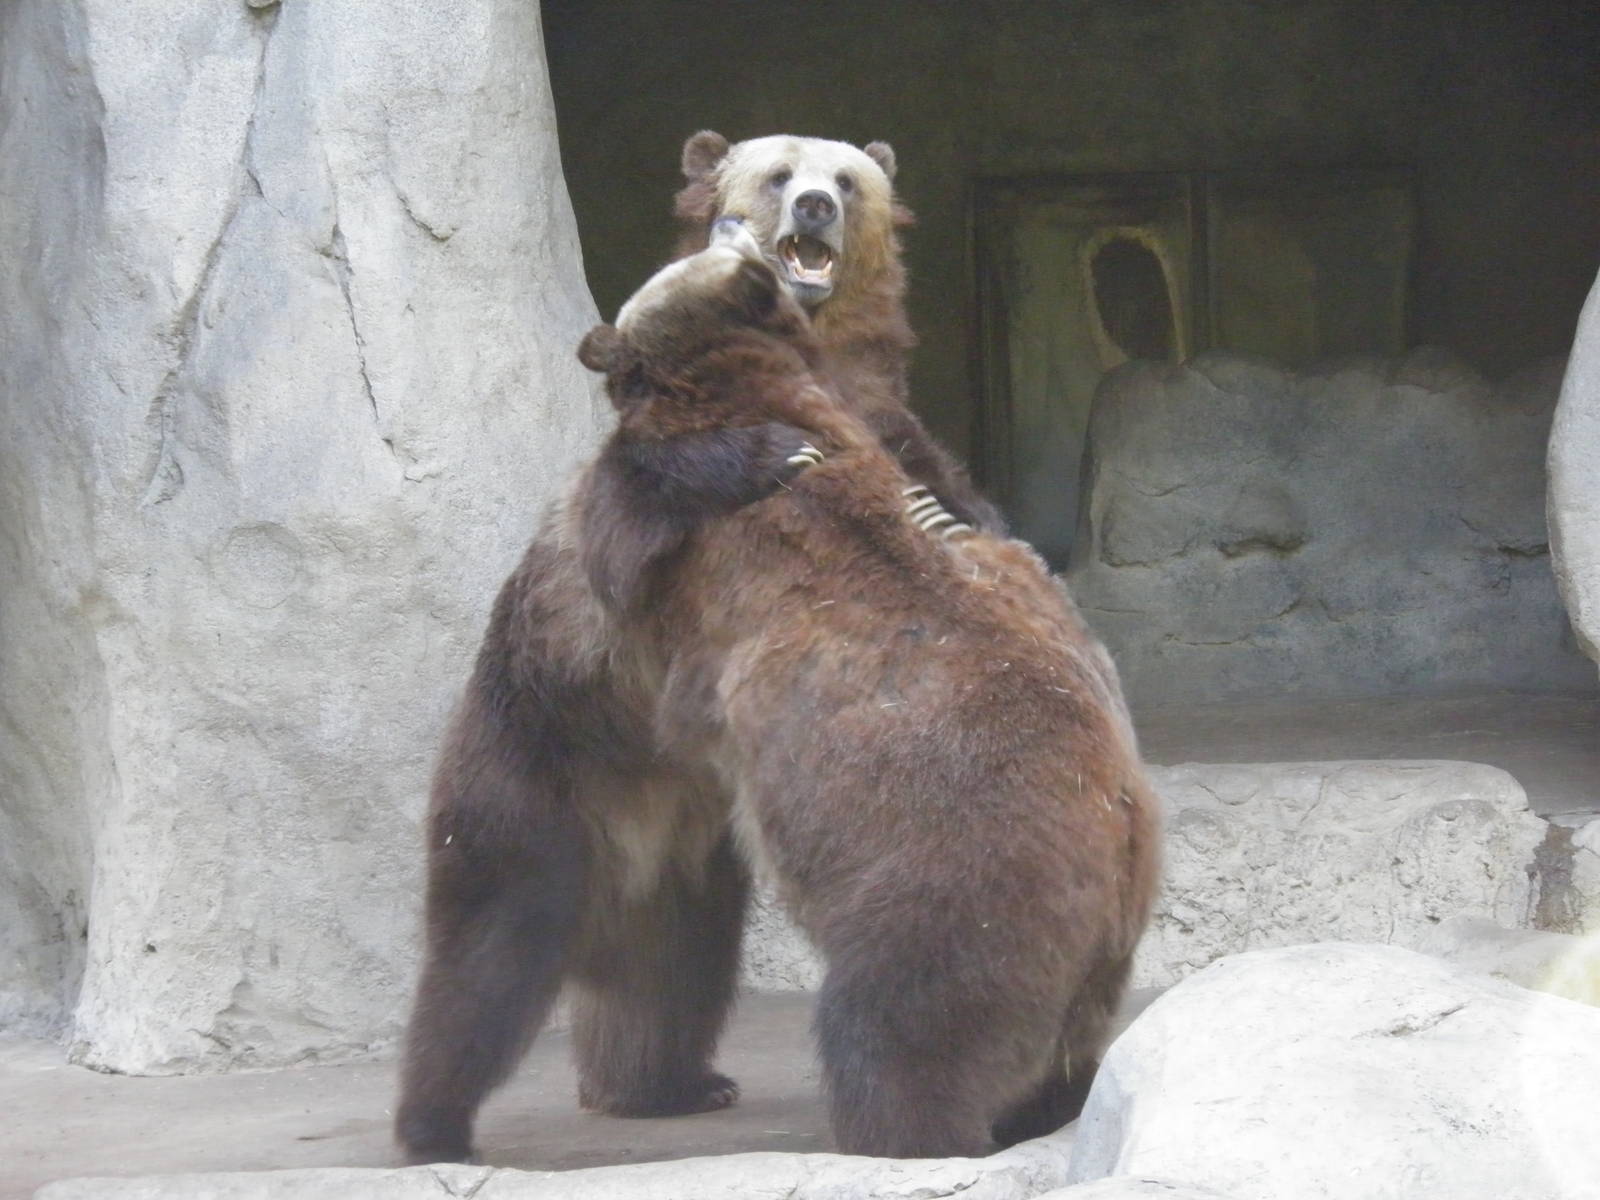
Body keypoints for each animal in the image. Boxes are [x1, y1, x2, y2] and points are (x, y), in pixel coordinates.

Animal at [394, 134, 1000, 1165]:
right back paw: (437, 1124)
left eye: (848, 179)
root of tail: (620, 843)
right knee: (487, 955)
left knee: (674, 966)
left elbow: (950, 502)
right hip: (533, 765)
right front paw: (778, 452)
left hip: (689, 843)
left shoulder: (899, 434)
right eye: (778, 172)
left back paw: (667, 1081)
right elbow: (640, 503)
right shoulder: (612, 521)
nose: (813, 208)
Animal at [572, 220, 1161, 1158]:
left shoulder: (678, 555)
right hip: (1094, 955)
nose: (737, 223)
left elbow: (619, 535)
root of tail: (1124, 831)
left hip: (950, 883)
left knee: (895, 1028)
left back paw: (899, 1130)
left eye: (713, 253)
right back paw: (1047, 1105)